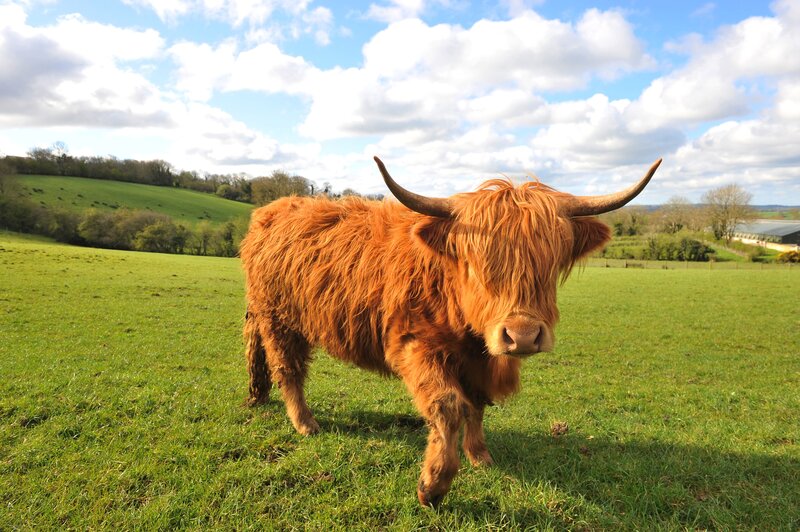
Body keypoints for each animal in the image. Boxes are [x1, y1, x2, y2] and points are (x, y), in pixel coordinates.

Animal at [240, 156, 662, 506]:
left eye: (550, 263)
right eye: (478, 265)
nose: (522, 335)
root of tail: (271, 210)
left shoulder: (478, 359)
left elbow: (476, 405)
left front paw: (480, 456)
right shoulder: (414, 345)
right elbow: (449, 406)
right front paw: (434, 484)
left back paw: (260, 396)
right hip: (279, 318)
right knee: (289, 368)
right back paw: (305, 423)